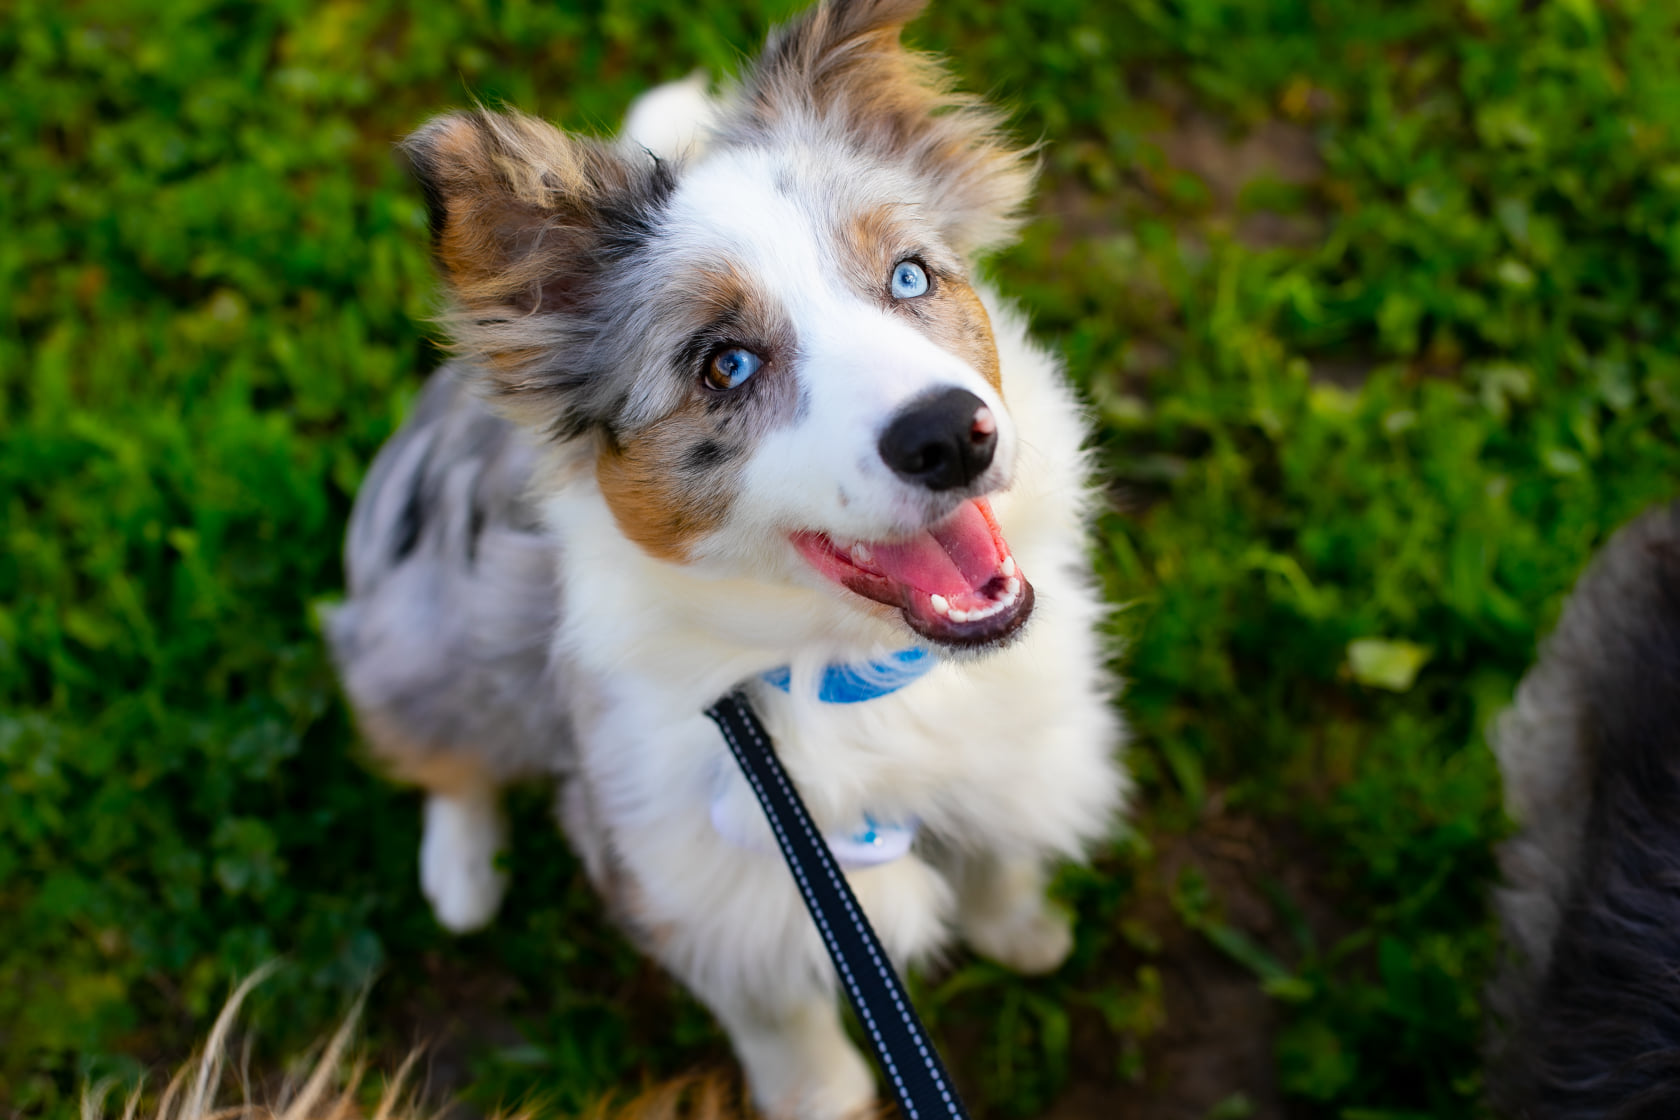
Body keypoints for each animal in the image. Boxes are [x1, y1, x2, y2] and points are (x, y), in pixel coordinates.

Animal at [327, 2, 1128, 1120]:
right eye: (726, 364)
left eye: (910, 275)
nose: (950, 435)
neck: (860, 675)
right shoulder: (708, 885)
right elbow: (777, 1012)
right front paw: (820, 1095)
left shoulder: (1014, 755)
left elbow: (1004, 852)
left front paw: (1024, 930)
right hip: (436, 620)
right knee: (431, 733)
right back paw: (462, 872)